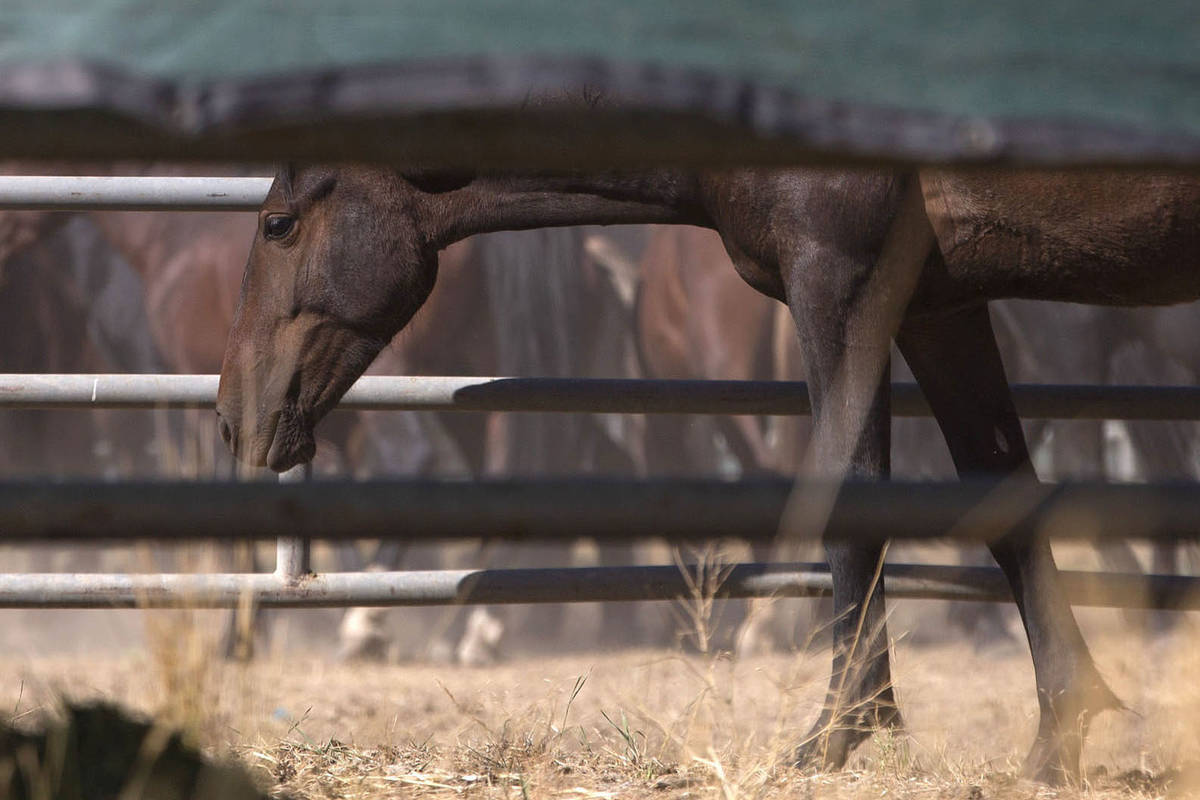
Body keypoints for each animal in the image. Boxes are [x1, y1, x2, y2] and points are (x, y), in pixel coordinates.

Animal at [216, 165, 1200, 786]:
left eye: (277, 224)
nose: (232, 419)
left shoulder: (842, 285)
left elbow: (853, 494)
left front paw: (839, 735)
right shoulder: (940, 306)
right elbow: (1007, 503)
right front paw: (1057, 741)